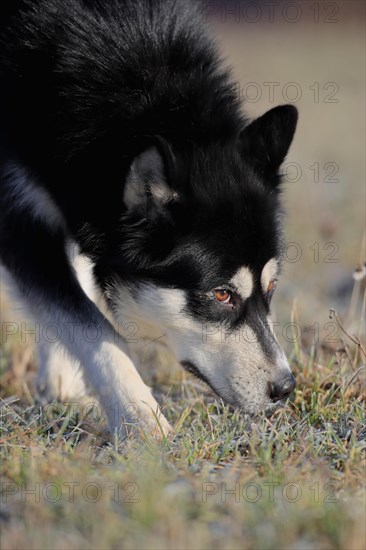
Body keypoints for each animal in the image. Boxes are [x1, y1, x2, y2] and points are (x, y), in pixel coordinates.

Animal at [0, 1, 298, 440]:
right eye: (221, 295)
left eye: (272, 287)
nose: (285, 388)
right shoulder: (17, 213)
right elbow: (91, 326)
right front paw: (140, 420)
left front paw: (61, 379)